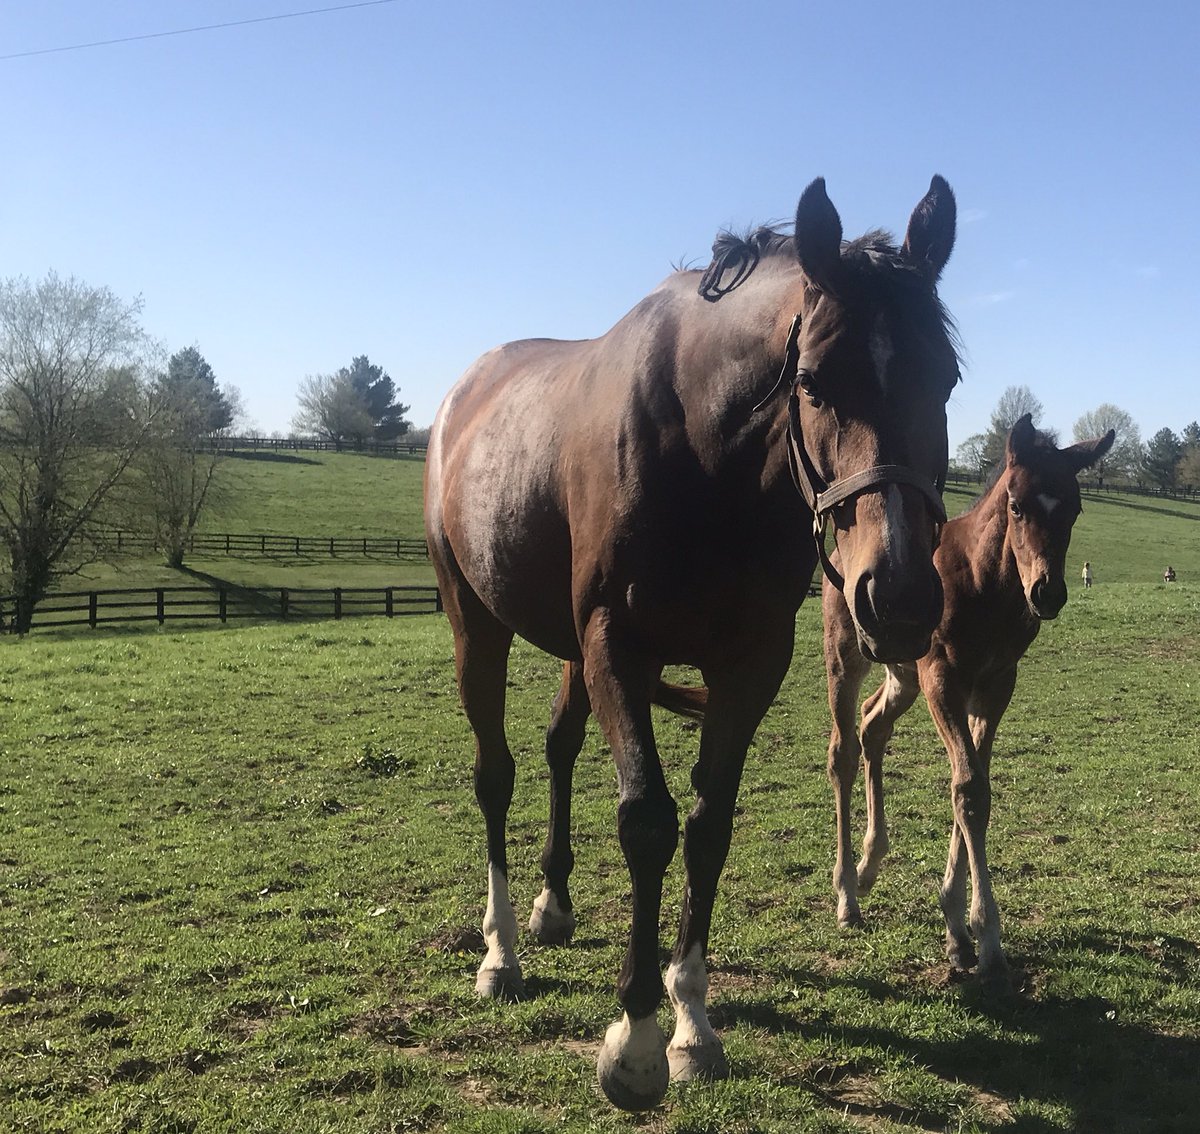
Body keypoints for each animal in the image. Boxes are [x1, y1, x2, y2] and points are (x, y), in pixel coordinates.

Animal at [825, 412, 1113, 984]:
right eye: (1017, 505)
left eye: (1074, 508)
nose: (1048, 592)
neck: (985, 583)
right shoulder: (943, 677)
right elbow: (968, 789)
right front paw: (982, 935)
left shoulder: (996, 683)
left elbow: (975, 785)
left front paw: (960, 930)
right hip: (849, 654)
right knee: (843, 750)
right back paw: (847, 893)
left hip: (903, 674)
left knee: (873, 726)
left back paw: (869, 864)